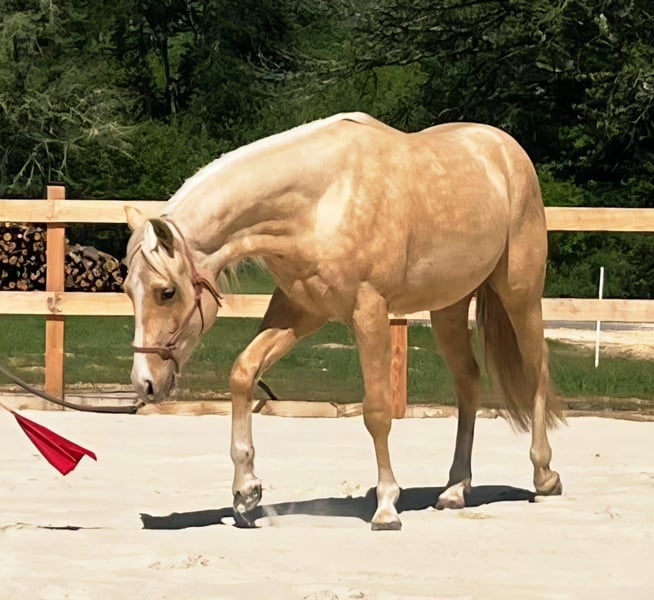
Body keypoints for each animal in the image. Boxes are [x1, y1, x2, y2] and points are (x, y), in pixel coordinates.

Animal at [123, 112, 563, 530]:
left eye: (167, 292)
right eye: (129, 290)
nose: (144, 383)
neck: (319, 202)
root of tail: (506, 148)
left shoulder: (369, 311)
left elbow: (377, 410)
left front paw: (386, 507)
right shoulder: (300, 311)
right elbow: (244, 373)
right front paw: (246, 494)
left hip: (520, 295)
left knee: (537, 368)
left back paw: (544, 475)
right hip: (449, 306)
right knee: (468, 382)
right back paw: (455, 489)